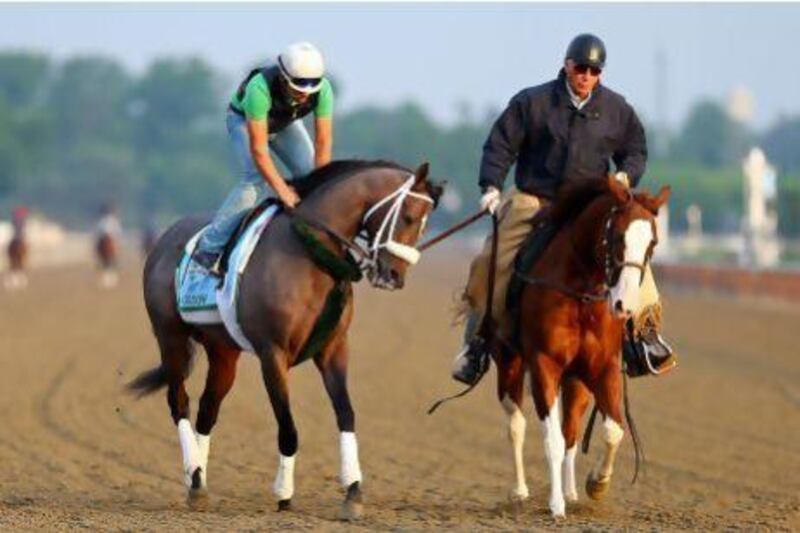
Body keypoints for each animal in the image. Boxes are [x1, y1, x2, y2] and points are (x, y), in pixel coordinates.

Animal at [130, 160, 444, 516]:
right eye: (409, 216)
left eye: (424, 224)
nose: (394, 276)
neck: (311, 256)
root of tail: (165, 236)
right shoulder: (273, 353)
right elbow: (288, 426)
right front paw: (283, 493)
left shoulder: (334, 349)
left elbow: (346, 412)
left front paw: (353, 490)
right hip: (170, 337)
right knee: (179, 402)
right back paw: (194, 477)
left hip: (223, 351)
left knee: (207, 409)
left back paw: (198, 481)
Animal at [494, 177, 668, 516]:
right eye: (617, 236)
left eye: (652, 243)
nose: (624, 305)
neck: (581, 295)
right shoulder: (544, 364)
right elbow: (551, 440)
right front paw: (555, 505)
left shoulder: (603, 367)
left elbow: (613, 430)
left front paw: (596, 484)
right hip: (509, 364)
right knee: (516, 424)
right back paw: (520, 492)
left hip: (576, 381)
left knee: (571, 433)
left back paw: (572, 491)